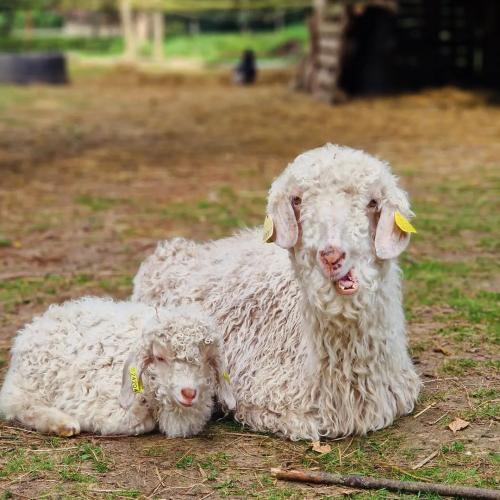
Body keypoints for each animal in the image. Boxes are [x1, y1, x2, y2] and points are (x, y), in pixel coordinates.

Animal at [0, 296, 234, 438]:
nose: (189, 393)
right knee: (18, 405)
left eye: (207, 359)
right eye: (159, 357)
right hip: (32, 382)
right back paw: (64, 424)